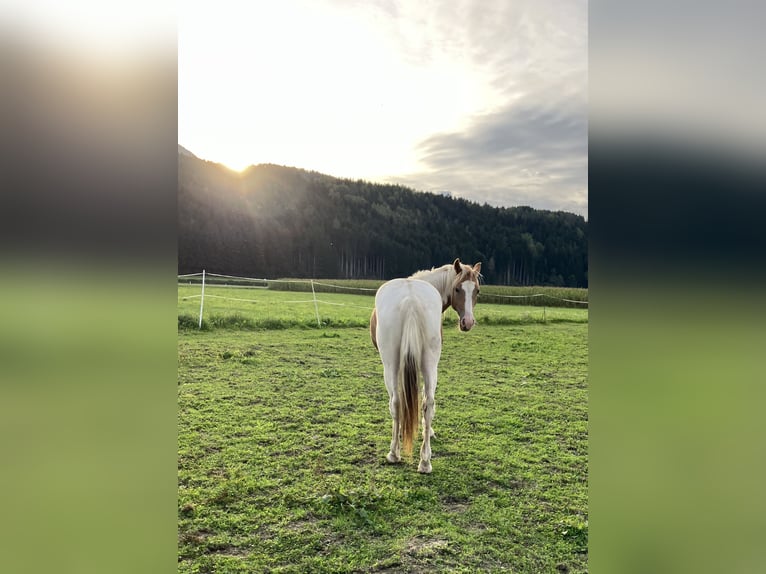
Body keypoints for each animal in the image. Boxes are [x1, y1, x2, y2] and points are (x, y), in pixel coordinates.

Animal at [370, 258, 484, 474]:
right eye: (458, 289)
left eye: (477, 290)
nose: (468, 322)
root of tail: (410, 300)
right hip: (430, 361)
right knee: (428, 403)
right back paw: (425, 461)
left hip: (390, 364)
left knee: (396, 402)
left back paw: (394, 453)